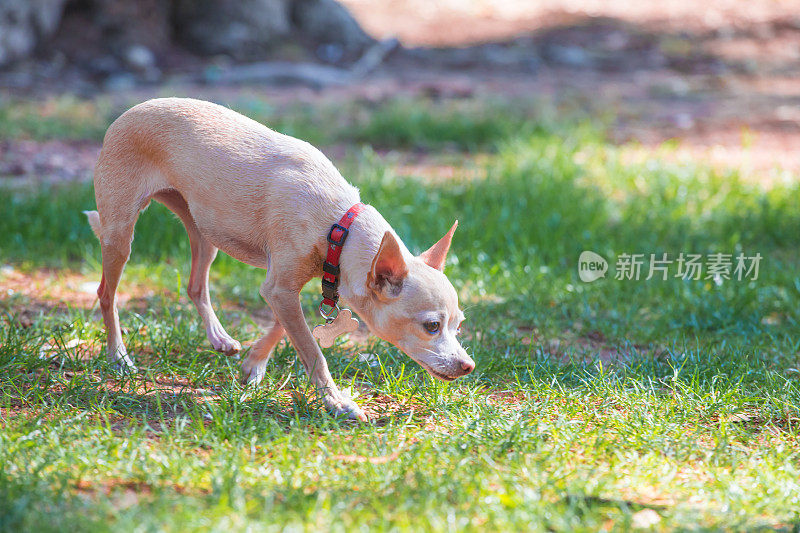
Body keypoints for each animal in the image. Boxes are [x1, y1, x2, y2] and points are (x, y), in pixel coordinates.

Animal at [86, 97, 476, 418]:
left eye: (459, 326)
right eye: (432, 326)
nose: (468, 365)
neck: (339, 225)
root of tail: (129, 111)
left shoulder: (285, 287)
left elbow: (284, 328)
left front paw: (254, 365)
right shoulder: (279, 288)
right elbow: (311, 349)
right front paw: (337, 402)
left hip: (205, 232)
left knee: (196, 286)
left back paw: (219, 338)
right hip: (121, 234)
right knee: (107, 293)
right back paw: (119, 357)